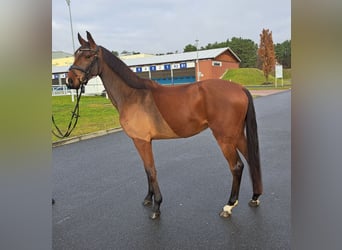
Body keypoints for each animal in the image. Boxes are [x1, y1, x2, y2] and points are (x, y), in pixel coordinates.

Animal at [66, 32, 262, 220]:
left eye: (89, 56)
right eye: (76, 55)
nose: (70, 81)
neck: (133, 95)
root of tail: (239, 88)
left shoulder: (141, 141)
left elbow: (151, 170)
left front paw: (157, 207)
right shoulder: (143, 141)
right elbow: (146, 170)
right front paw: (148, 198)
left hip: (225, 138)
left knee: (236, 166)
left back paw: (229, 206)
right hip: (237, 135)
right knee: (250, 160)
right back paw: (254, 197)